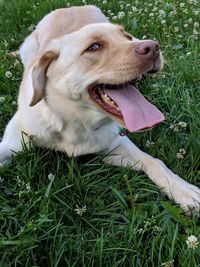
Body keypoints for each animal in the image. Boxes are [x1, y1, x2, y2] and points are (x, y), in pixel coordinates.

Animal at [0, 5, 199, 216]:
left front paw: (183, 190)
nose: (153, 47)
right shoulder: (13, 143)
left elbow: (154, 161)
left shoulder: (114, 145)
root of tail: (70, 7)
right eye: (94, 47)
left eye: (126, 37)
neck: (73, 124)